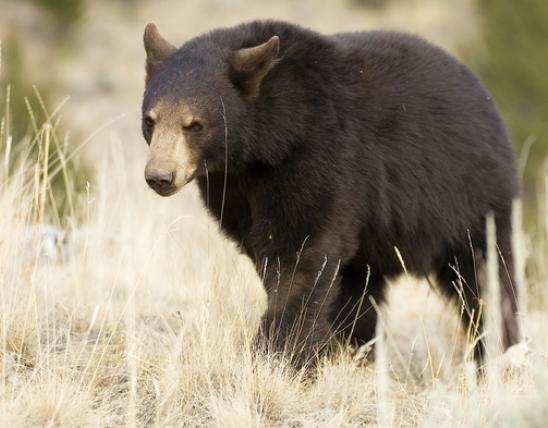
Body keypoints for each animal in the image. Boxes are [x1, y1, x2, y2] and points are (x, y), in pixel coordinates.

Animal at [139, 20, 520, 368]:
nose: (160, 176)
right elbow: (271, 253)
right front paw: (313, 351)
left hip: (469, 198)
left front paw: (279, 354)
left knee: (484, 278)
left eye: (194, 124)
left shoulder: (321, 158)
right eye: (150, 120)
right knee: (358, 289)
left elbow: (300, 256)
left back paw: (499, 352)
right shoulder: (232, 191)